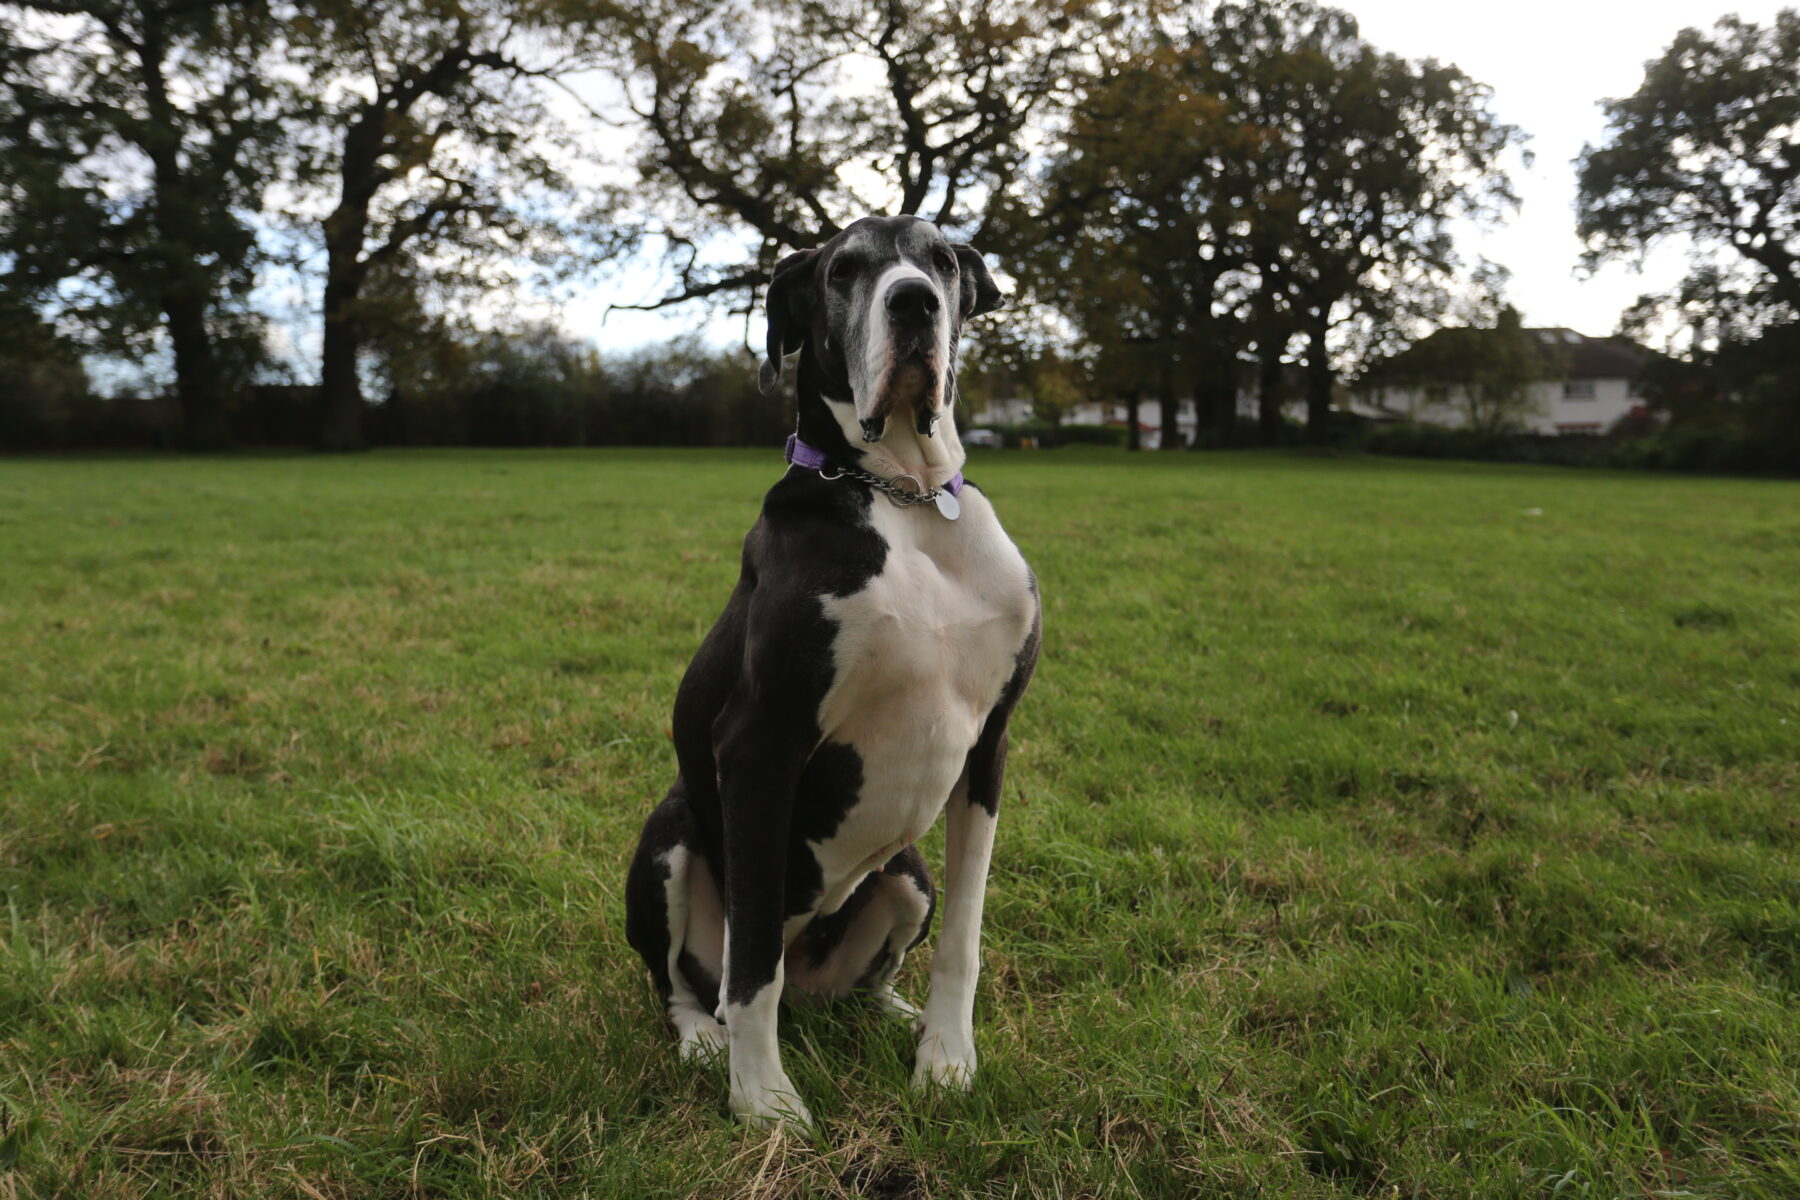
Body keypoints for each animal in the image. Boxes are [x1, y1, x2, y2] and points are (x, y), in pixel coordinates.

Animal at [626, 215, 1044, 1129]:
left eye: (942, 260)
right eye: (844, 270)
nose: (915, 302)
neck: (905, 496)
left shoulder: (990, 744)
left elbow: (965, 934)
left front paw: (947, 1056)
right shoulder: (760, 746)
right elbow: (750, 964)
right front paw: (764, 1099)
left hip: (906, 875)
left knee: (856, 972)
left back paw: (889, 1010)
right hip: (670, 834)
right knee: (689, 982)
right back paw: (703, 1039)